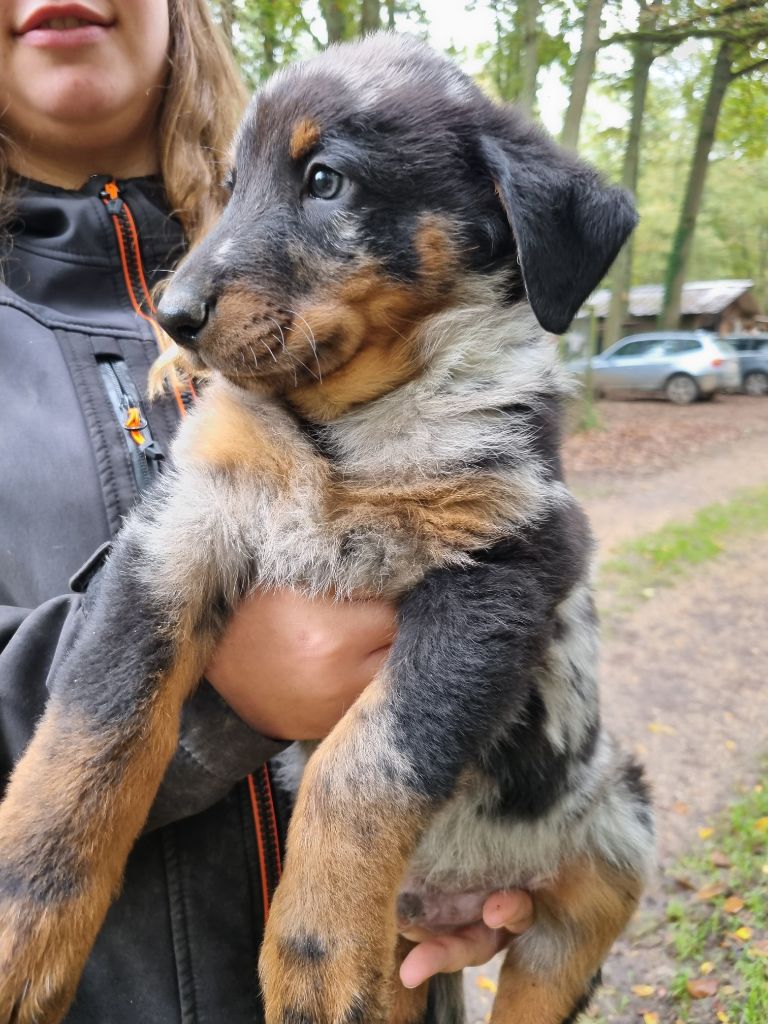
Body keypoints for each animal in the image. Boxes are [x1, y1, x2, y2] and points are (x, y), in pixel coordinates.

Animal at [0, 32, 655, 1024]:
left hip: (609, 845)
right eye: (232, 184)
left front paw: (314, 948)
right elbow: (94, 727)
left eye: (324, 179)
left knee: (549, 967)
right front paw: (22, 920)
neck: (339, 438)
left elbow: (369, 756)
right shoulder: (176, 534)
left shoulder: (501, 567)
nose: (173, 318)